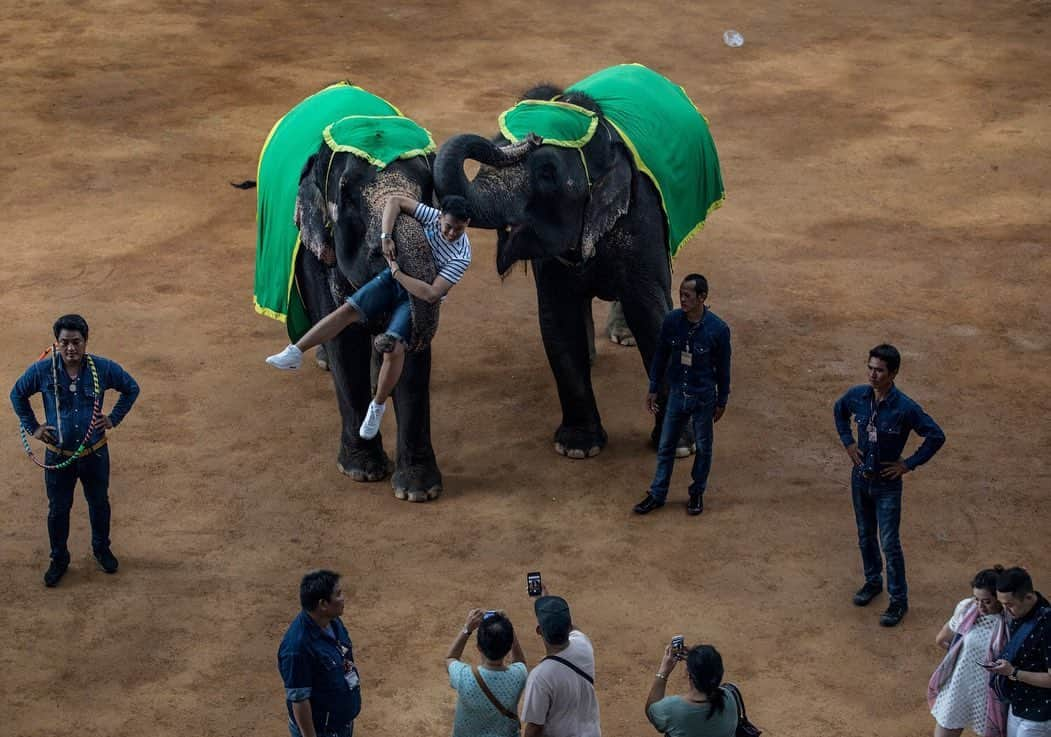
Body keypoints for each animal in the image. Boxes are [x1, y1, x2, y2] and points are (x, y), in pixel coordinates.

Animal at [430, 63, 718, 456]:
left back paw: (624, 337)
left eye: (547, 173)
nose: (533, 135)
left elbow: (652, 318)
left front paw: (678, 448)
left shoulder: (641, 216)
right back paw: (593, 356)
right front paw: (578, 448)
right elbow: (557, 318)